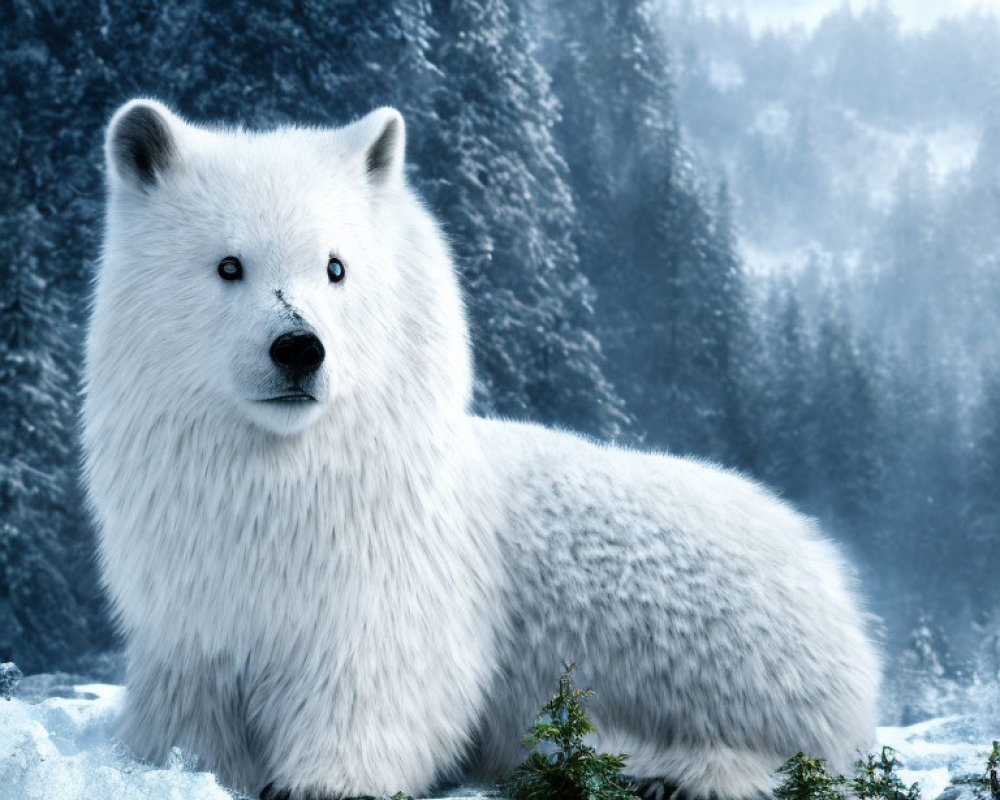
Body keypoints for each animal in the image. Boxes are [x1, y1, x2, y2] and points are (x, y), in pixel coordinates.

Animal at [86, 101, 880, 800]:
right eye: (228, 265)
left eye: (336, 266)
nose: (298, 348)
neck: (283, 484)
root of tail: (826, 561)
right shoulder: (193, 604)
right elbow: (188, 704)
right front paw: (177, 766)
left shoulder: (391, 583)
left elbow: (381, 685)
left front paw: (321, 779)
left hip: (722, 628)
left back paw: (672, 772)